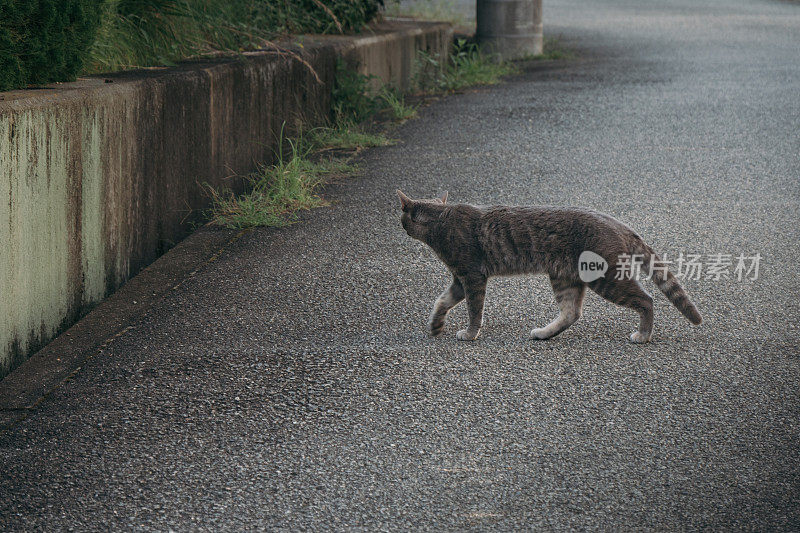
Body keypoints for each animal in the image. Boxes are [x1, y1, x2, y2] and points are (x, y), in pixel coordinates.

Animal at [396, 189, 704, 342]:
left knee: (646, 300)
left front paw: (471, 333)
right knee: (571, 313)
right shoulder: (458, 280)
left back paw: (644, 334)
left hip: (606, 278)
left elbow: (474, 310)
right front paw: (436, 326)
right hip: (565, 277)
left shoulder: (472, 277)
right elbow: (441, 301)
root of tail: (617, 222)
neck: (441, 220)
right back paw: (545, 333)